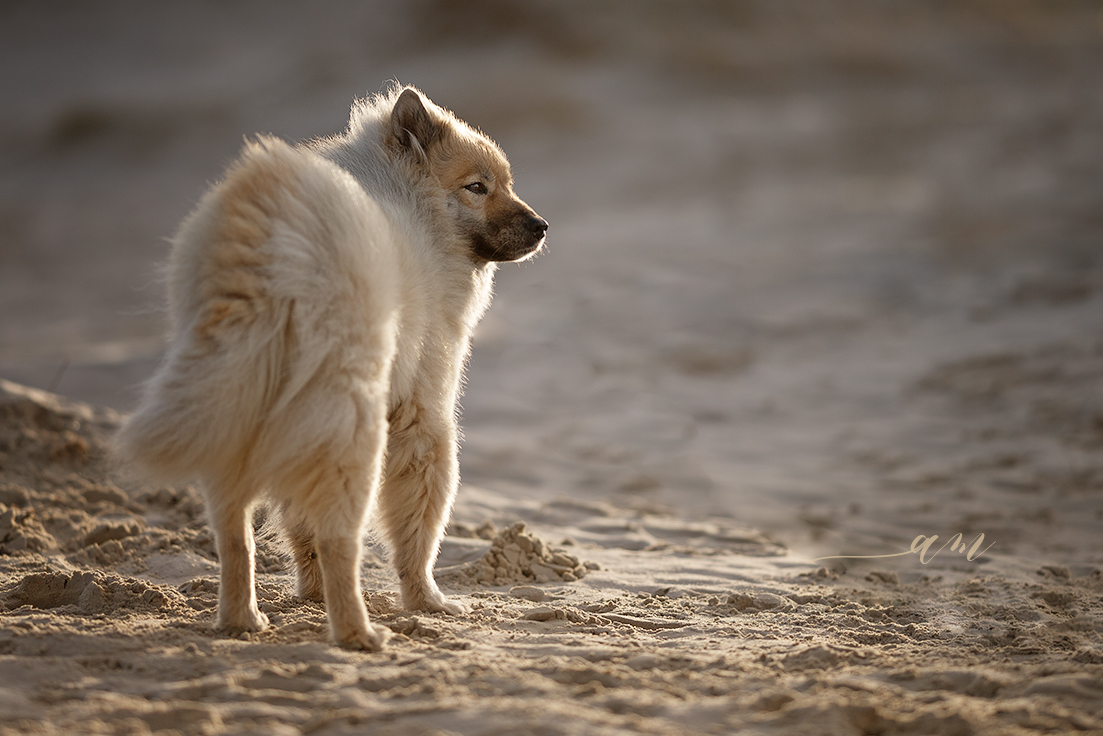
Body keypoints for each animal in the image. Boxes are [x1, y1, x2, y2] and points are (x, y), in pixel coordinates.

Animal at [116, 84, 547, 648]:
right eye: (479, 187)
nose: (542, 227)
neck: (416, 204)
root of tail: (276, 246)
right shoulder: (423, 409)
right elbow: (418, 524)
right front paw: (426, 601)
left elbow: (299, 526)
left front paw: (312, 594)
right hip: (351, 423)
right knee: (341, 537)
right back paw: (358, 633)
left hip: (235, 404)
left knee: (234, 533)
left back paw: (242, 620)